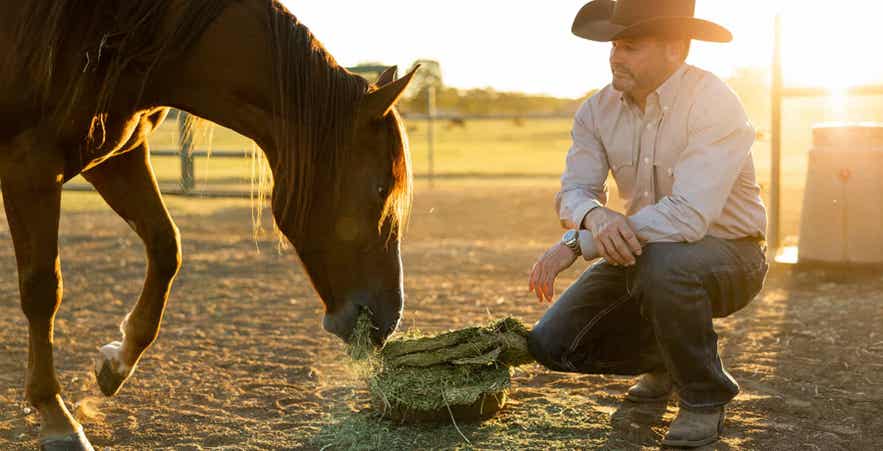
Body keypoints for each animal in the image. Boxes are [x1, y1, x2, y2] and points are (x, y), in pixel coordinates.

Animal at [0, 1, 416, 449]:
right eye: (381, 188)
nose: (388, 319)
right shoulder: (30, 166)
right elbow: (42, 290)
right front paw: (57, 418)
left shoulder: (119, 154)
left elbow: (167, 247)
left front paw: (116, 362)